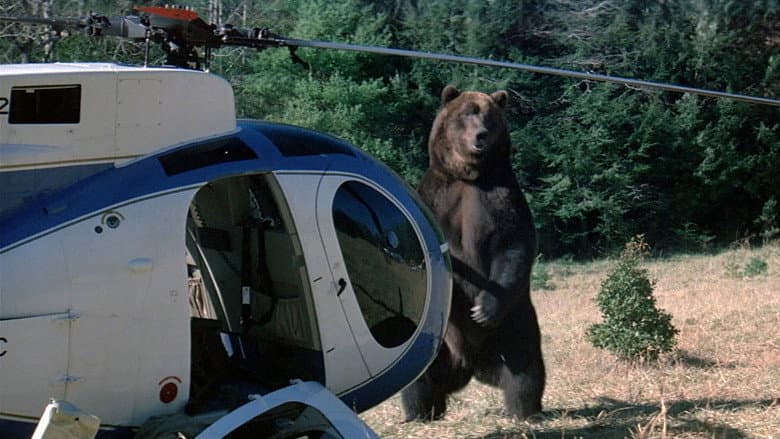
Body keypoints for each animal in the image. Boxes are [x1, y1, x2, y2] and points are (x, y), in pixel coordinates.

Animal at [401, 85, 545, 421]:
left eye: (489, 117)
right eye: (468, 113)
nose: (480, 135)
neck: (469, 175)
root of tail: (470, 364)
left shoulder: (500, 196)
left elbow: (513, 245)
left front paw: (482, 309)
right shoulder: (437, 197)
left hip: (515, 320)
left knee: (525, 361)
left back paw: (524, 409)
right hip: (435, 341)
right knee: (419, 375)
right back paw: (420, 412)